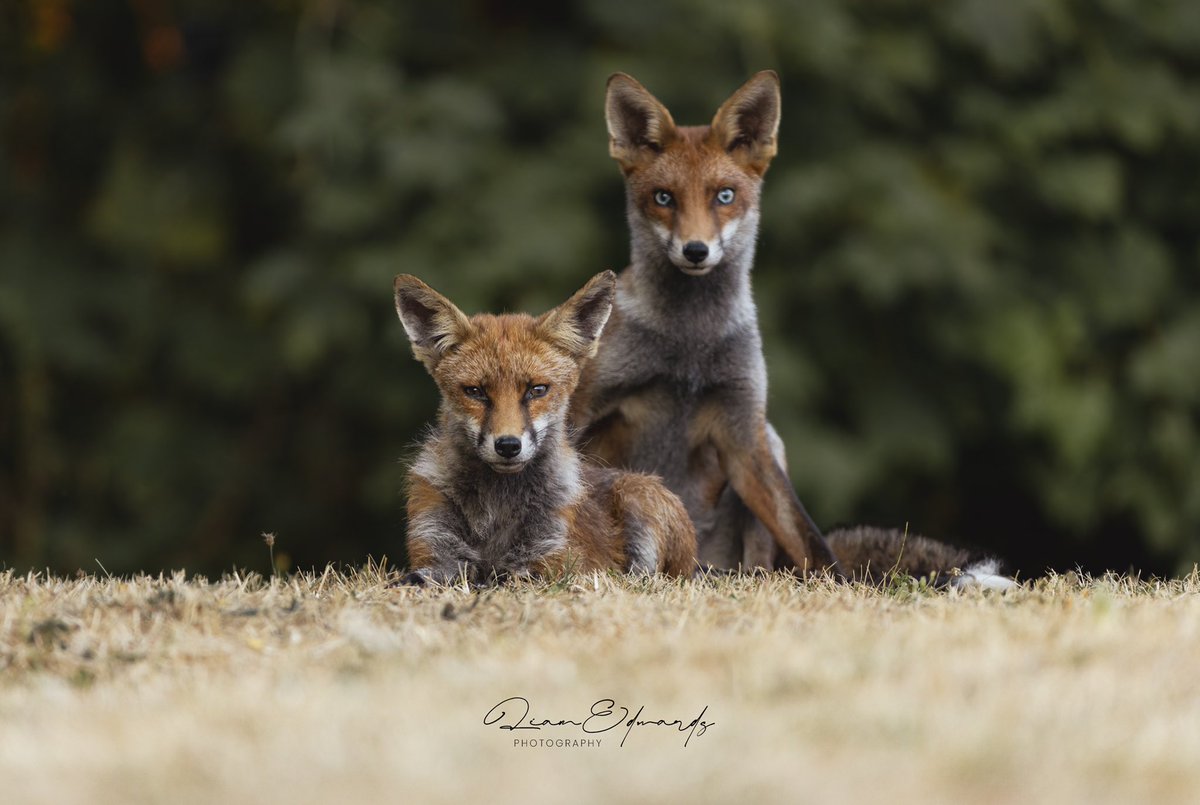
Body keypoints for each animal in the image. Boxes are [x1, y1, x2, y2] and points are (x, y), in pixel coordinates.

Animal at [393, 269, 698, 585]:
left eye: (537, 390)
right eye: (475, 392)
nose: (508, 446)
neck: (497, 510)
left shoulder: (553, 562)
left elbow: (503, 580)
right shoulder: (437, 552)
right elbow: (419, 578)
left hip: (640, 500)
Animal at [570, 70, 1014, 589]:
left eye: (724, 196)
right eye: (663, 198)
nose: (696, 250)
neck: (689, 346)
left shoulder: (744, 430)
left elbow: (811, 539)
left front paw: (844, 591)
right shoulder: (584, 405)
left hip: (772, 444)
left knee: (765, 564)